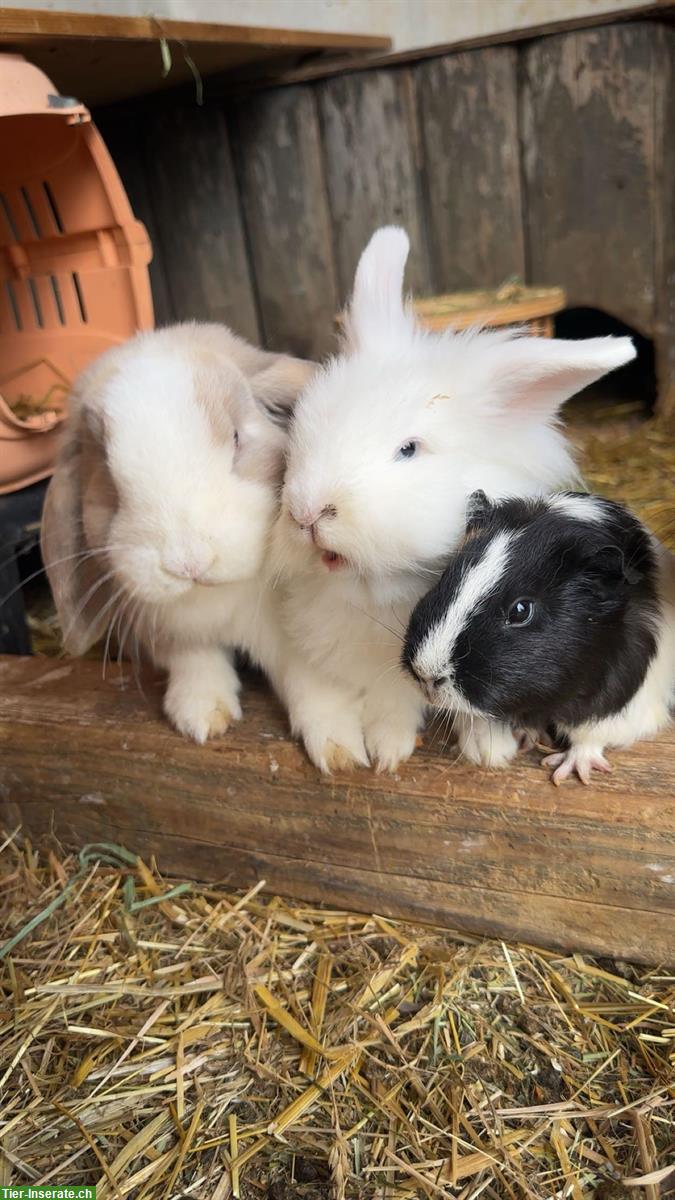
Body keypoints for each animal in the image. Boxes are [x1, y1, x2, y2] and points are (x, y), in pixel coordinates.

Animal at [41, 321, 369, 772]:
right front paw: (200, 715)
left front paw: (340, 748)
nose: (187, 563)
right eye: (105, 473)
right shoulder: (167, 630)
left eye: (236, 438)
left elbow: (311, 679)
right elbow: (194, 658)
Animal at [270, 226, 638, 772]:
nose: (307, 512)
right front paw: (346, 754)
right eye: (300, 430)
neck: (372, 591)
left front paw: (477, 750)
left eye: (409, 449)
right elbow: (318, 698)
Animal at [402, 490, 675, 783]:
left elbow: (589, 738)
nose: (426, 676)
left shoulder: (623, 704)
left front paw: (566, 771)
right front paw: (525, 738)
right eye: (446, 577)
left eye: (521, 610)